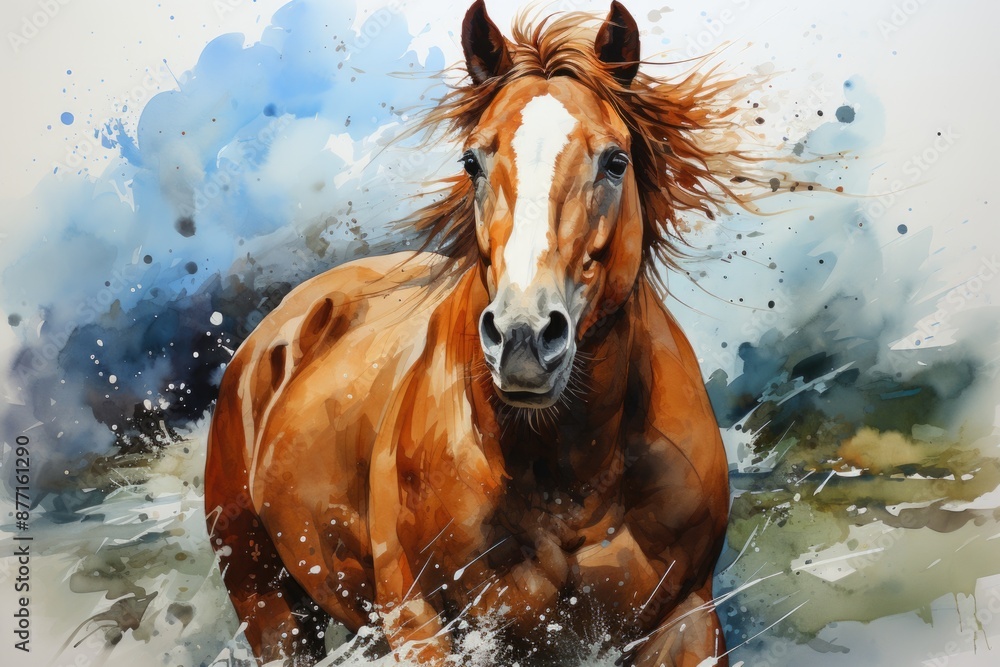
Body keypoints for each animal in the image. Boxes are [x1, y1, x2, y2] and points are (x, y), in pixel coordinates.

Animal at [205, 2, 742, 665]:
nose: (524, 340)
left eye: (615, 161)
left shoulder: (687, 619)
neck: (570, 478)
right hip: (268, 604)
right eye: (472, 162)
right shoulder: (419, 621)